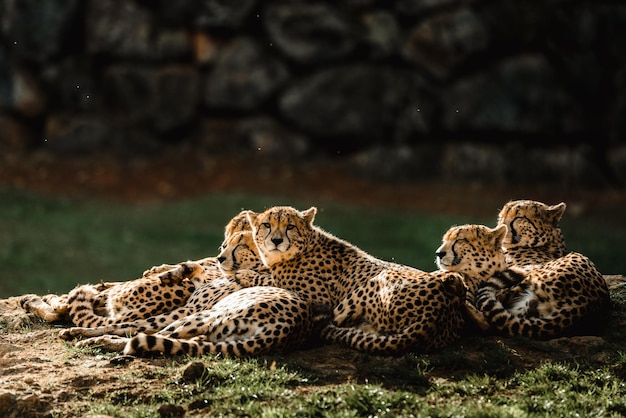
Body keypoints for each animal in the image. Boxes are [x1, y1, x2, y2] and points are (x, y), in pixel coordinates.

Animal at [244, 206, 464, 352]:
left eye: (290, 226)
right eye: (266, 225)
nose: (276, 240)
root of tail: (437, 310)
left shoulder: (316, 298)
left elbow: (266, 280)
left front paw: (245, 274)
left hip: (371, 284)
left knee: (334, 323)